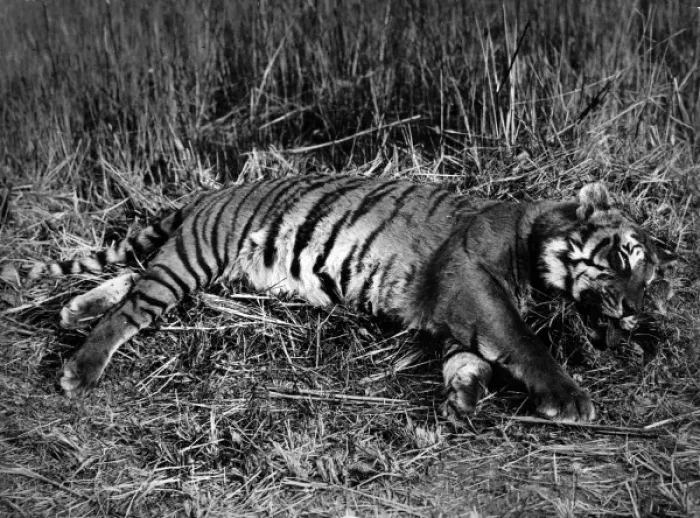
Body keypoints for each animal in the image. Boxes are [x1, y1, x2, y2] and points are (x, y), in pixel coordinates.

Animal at [20, 174, 658, 422]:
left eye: (648, 279)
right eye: (623, 260)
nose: (635, 312)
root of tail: (207, 196)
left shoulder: (456, 314)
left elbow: (469, 358)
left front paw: (462, 397)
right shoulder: (471, 280)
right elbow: (522, 342)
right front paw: (569, 398)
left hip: (194, 267)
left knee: (132, 281)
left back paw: (73, 311)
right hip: (197, 257)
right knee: (132, 308)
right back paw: (79, 368)